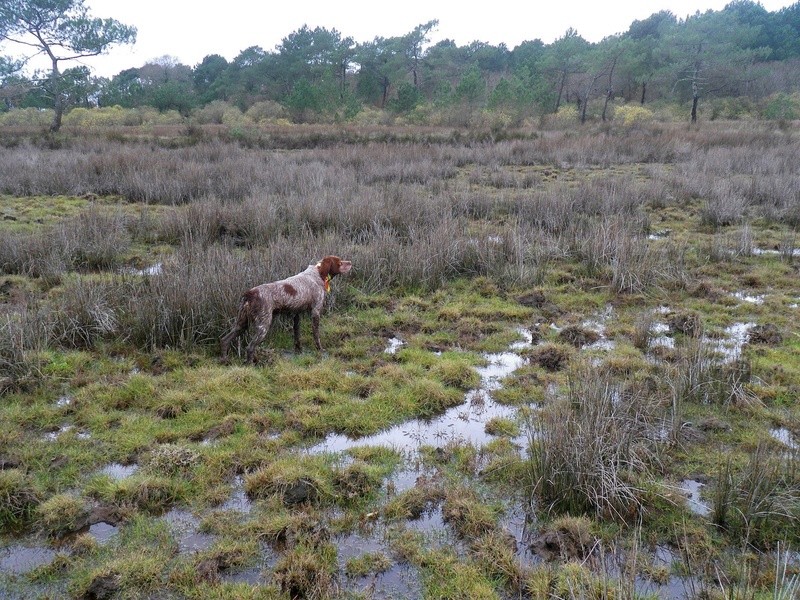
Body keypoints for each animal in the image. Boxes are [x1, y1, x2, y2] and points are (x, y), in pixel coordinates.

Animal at [222, 255, 354, 364]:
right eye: (339, 262)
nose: (350, 262)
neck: (317, 273)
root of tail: (250, 294)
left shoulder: (296, 314)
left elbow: (297, 335)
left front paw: (299, 351)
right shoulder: (316, 311)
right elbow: (316, 335)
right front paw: (320, 349)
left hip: (241, 323)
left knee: (225, 339)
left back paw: (224, 360)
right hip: (263, 325)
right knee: (250, 347)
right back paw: (250, 365)